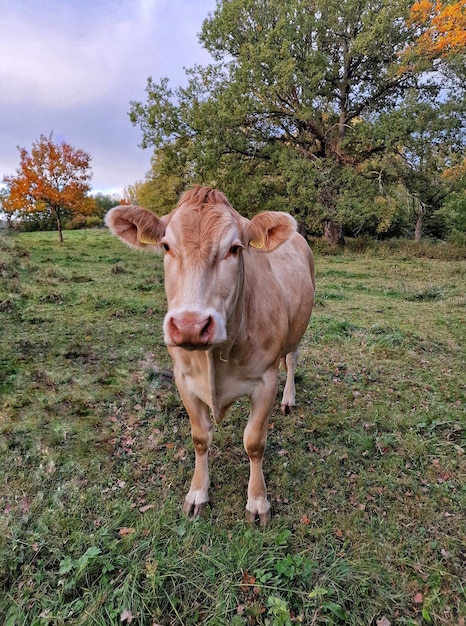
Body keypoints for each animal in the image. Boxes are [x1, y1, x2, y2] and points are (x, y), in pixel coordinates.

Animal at [105, 185, 314, 520]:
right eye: (166, 246)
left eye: (235, 248)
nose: (190, 325)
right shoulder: (183, 379)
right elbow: (200, 438)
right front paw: (197, 493)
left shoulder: (266, 380)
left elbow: (254, 442)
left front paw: (258, 502)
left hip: (298, 330)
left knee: (292, 361)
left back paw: (289, 400)